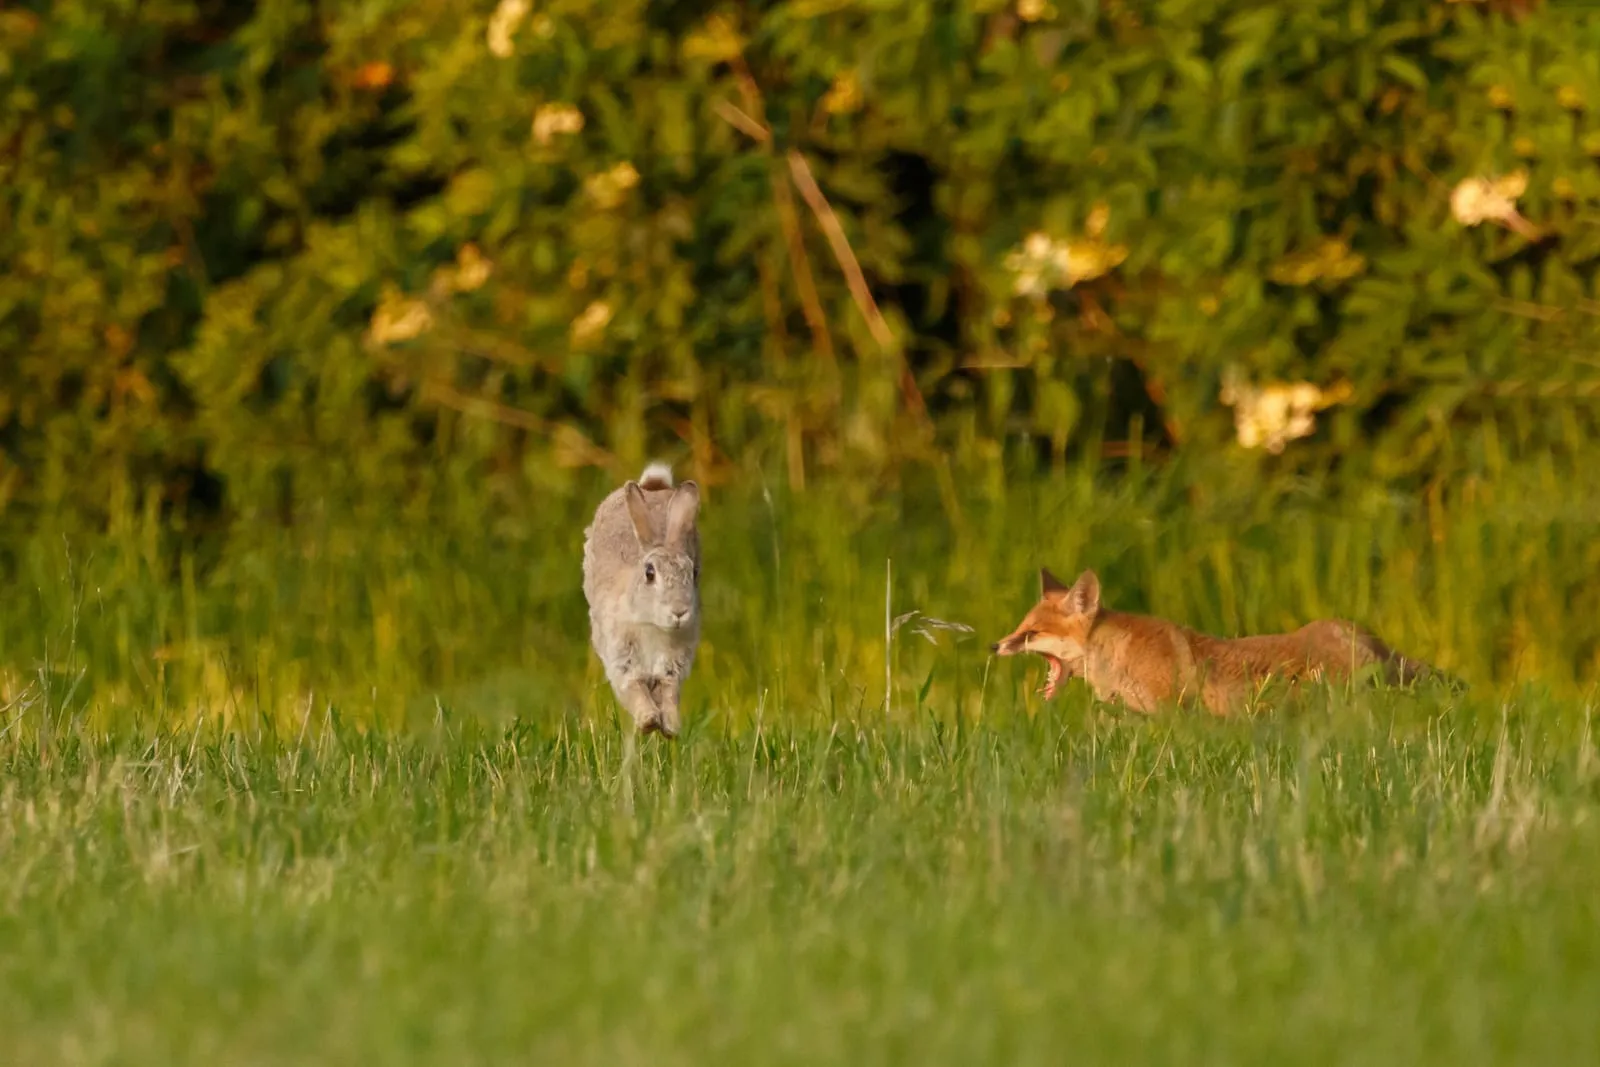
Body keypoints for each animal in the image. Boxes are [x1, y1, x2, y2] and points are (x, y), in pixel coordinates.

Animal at [581, 462, 702, 737]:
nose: (680, 612)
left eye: (694, 573)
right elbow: (635, 689)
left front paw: (670, 728)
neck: (652, 624)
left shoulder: (672, 668)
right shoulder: (622, 660)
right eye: (649, 574)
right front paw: (649, 722)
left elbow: (669, 693)